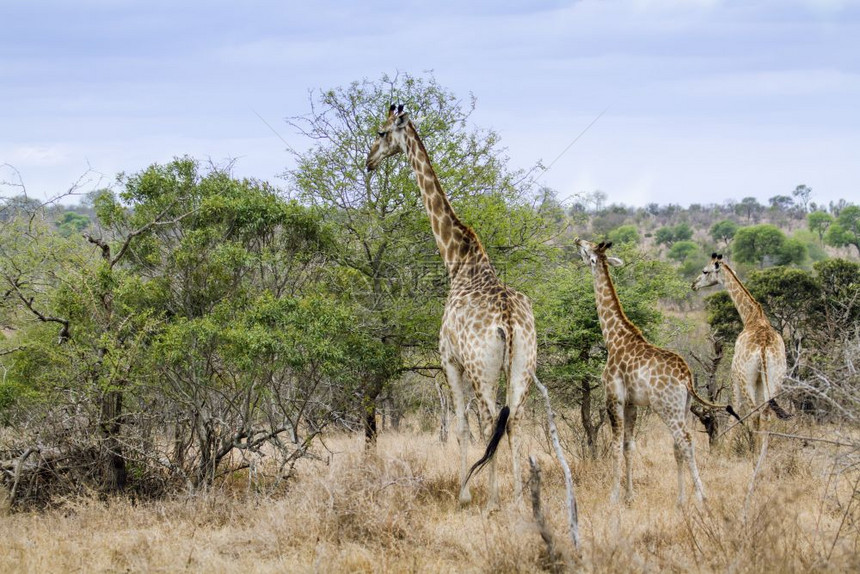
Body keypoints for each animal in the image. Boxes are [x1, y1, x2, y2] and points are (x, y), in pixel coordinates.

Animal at [364, 103, 536, 508]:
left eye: (381, 133)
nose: (368, 161)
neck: (457, 259)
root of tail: (508, 320)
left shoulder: (449, 360)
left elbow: (460, 428)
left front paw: (464, 494)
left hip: (481, 368)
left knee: (491, 421)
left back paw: (492, 500)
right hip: (524, 365)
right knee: (515, 420)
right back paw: (519, 498)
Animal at [576, 241, 736, 506]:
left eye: (587, 250)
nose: (577, 241)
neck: (613, 337)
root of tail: (687, 377)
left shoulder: (614, 397)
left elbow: (615, 445)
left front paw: (613, 497)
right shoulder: (631, 402)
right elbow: (629, 445)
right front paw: (630, 496)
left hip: (666, 407)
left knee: (686, 440)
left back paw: (702, 497)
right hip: (682, 407)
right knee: (678, 444)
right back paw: (681, 499)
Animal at [692, 253, 792, 450]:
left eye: (705, 271)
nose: (694, 284)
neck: (752, 317)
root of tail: (763, 349)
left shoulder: (734, 376)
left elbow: (734, 410)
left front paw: (726, 449)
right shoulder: (761, 381)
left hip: (746, 378)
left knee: (753, 412)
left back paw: (753, 451)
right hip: (775, 378)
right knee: (765, 412)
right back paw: (761, 451)